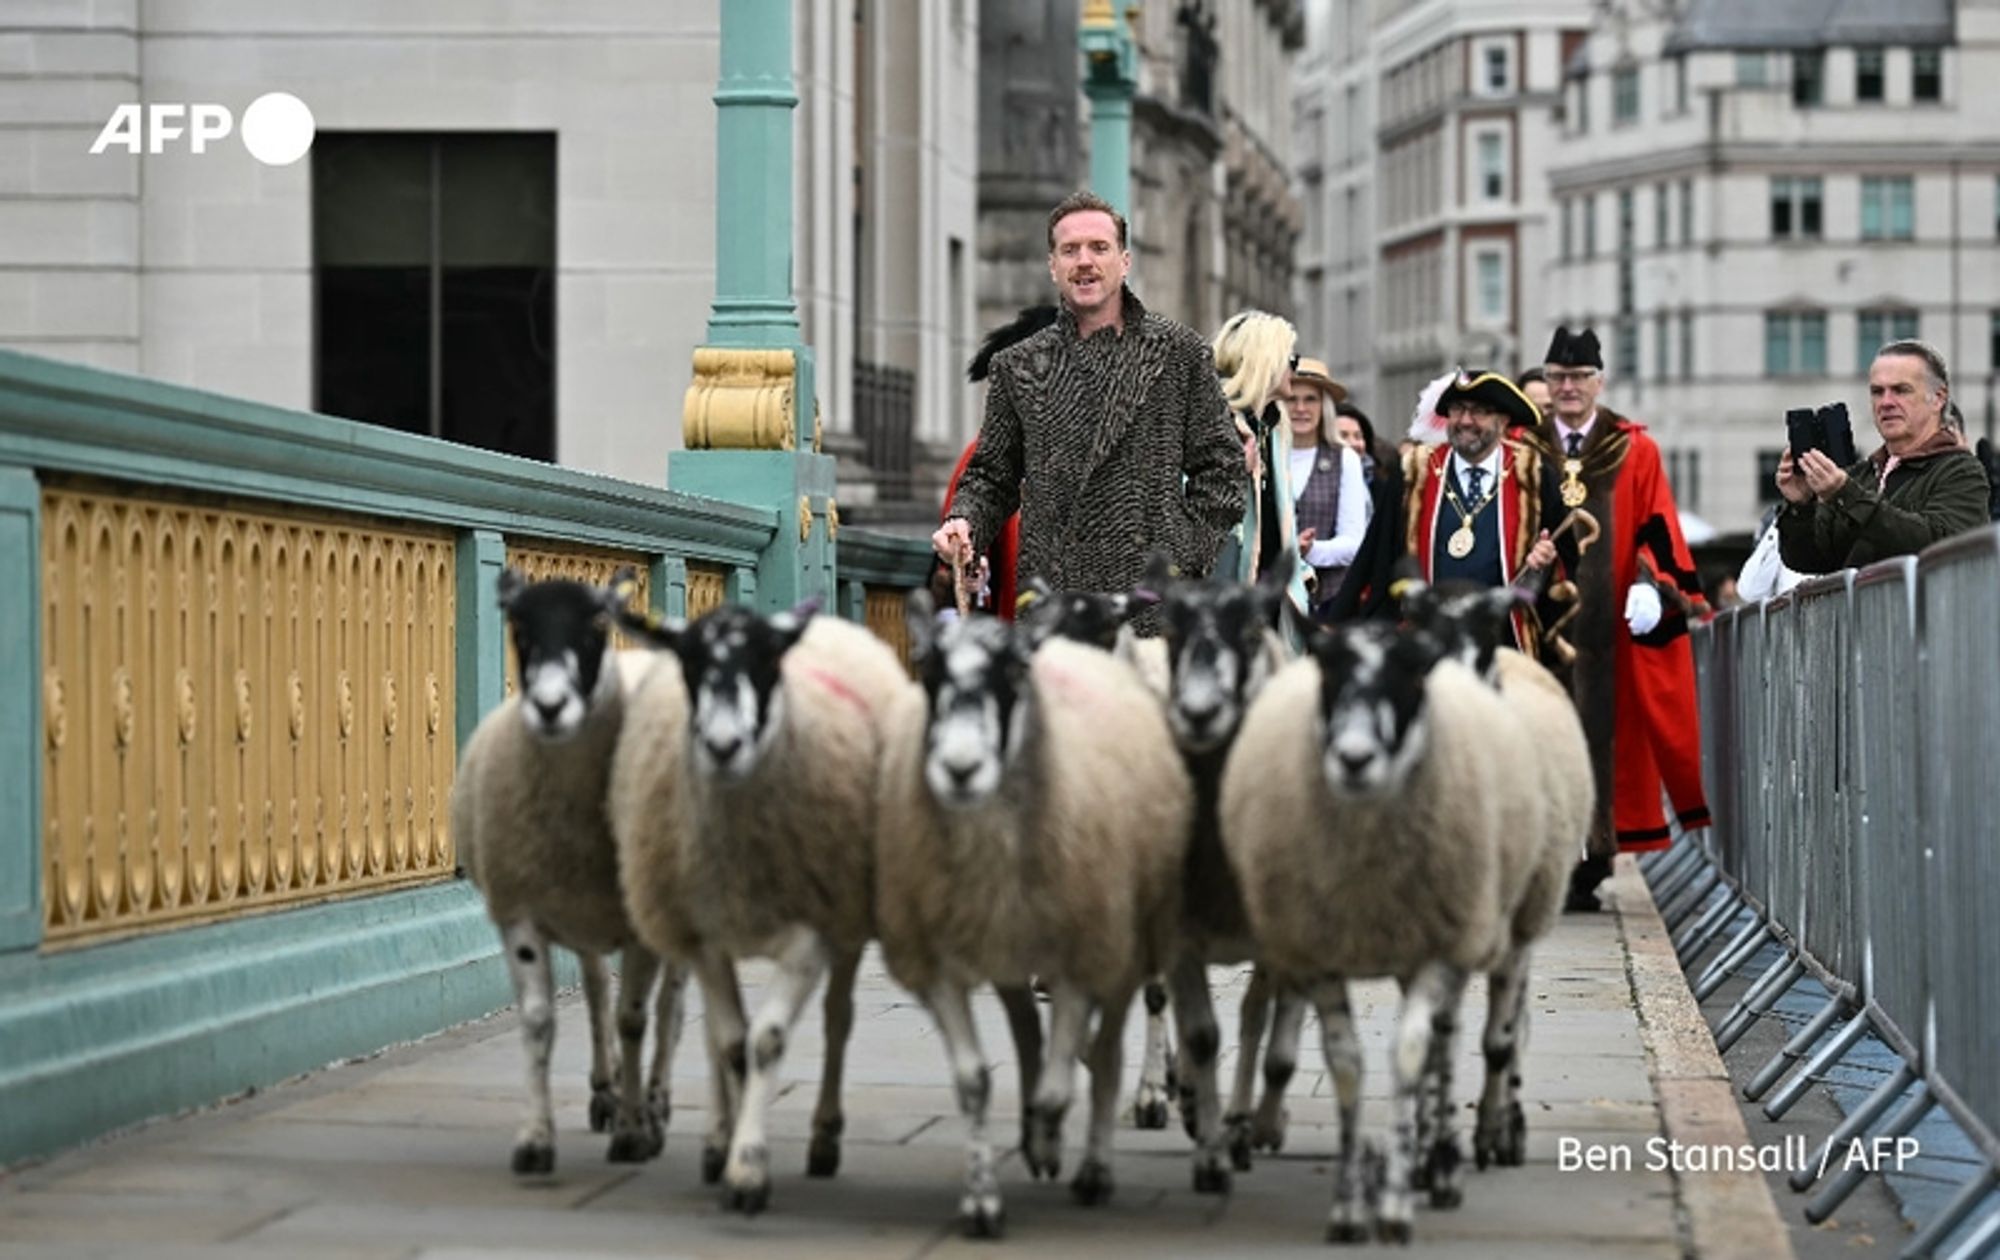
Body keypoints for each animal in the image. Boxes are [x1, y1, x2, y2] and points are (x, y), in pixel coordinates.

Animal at [456, 572, 696, 1184]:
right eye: (518, 625)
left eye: (596, 626)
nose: (549, 706)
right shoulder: (519, 911)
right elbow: (541, 1021)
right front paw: (536, 1141)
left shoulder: (640, 928)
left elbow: (635, 1019)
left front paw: (635, 1133)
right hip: (584, 913)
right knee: (593, 993)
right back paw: (605, 1093)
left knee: (670, 1010)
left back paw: (655, 1103)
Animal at [600, 608, 916, 1216]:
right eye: (690, 663)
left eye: (768, 663)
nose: (724, 745)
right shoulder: (704, 938)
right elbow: (729, 1044)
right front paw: (729, 1151)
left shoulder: (809, 937)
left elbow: (765, 1040)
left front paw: (748, 1173)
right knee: (711, 1034)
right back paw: (714, 1142)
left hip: (845, 922)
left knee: (837, 1019)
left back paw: (824, 1138)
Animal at [1400, 584, 1600, 1176]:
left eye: (1484, 642)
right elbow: (1430, 1038)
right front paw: (1428, 1147)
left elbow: (1498, 1040)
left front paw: (1490, 1134)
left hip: (1527, 917)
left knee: (1513, 1020)